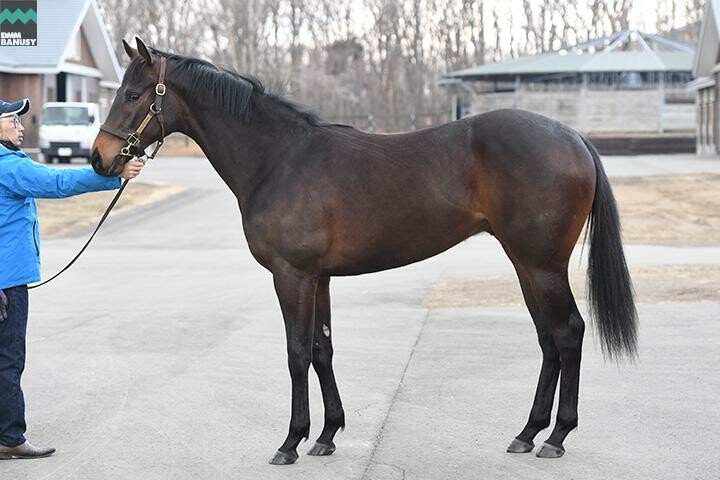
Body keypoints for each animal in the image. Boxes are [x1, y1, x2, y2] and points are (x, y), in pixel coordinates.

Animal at [90, 37, 637, 464]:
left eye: (134, 94)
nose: (99, 158)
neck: (280, 159)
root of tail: (572, 136)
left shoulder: (292, 275)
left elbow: (296, 353)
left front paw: (290, 442)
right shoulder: (319, 277)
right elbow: (321, 349)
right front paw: (327, 435)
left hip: (543, 265)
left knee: (568, 333)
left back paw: (557, 437)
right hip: (526, 265)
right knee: (548, 339)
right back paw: (528, 433)